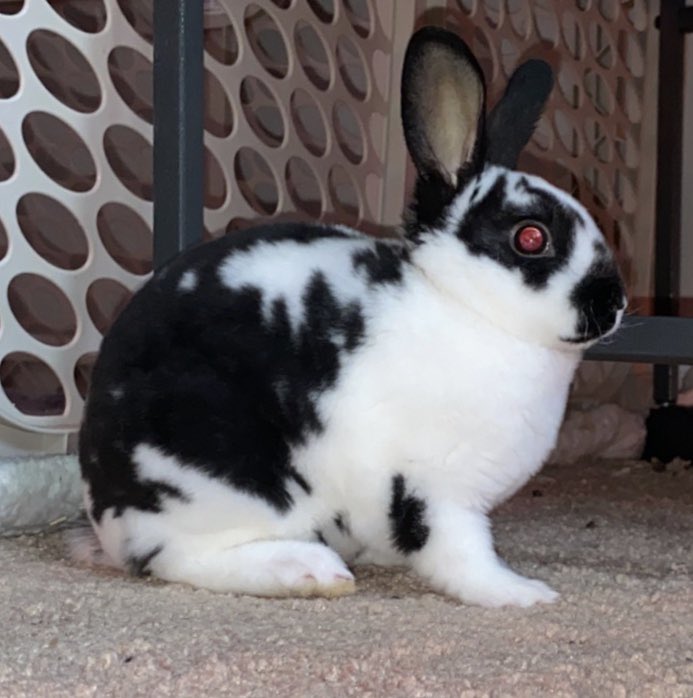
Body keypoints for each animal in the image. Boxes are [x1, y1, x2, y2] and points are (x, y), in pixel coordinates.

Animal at [71, 26, 626, 607]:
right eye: (531, 237)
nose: (613, 303)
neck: (462, 305)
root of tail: (104, 515)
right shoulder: (432, 491)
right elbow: (462, 556)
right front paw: (524, 594)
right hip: (222, 484)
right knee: (178, 558)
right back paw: (311, 571)